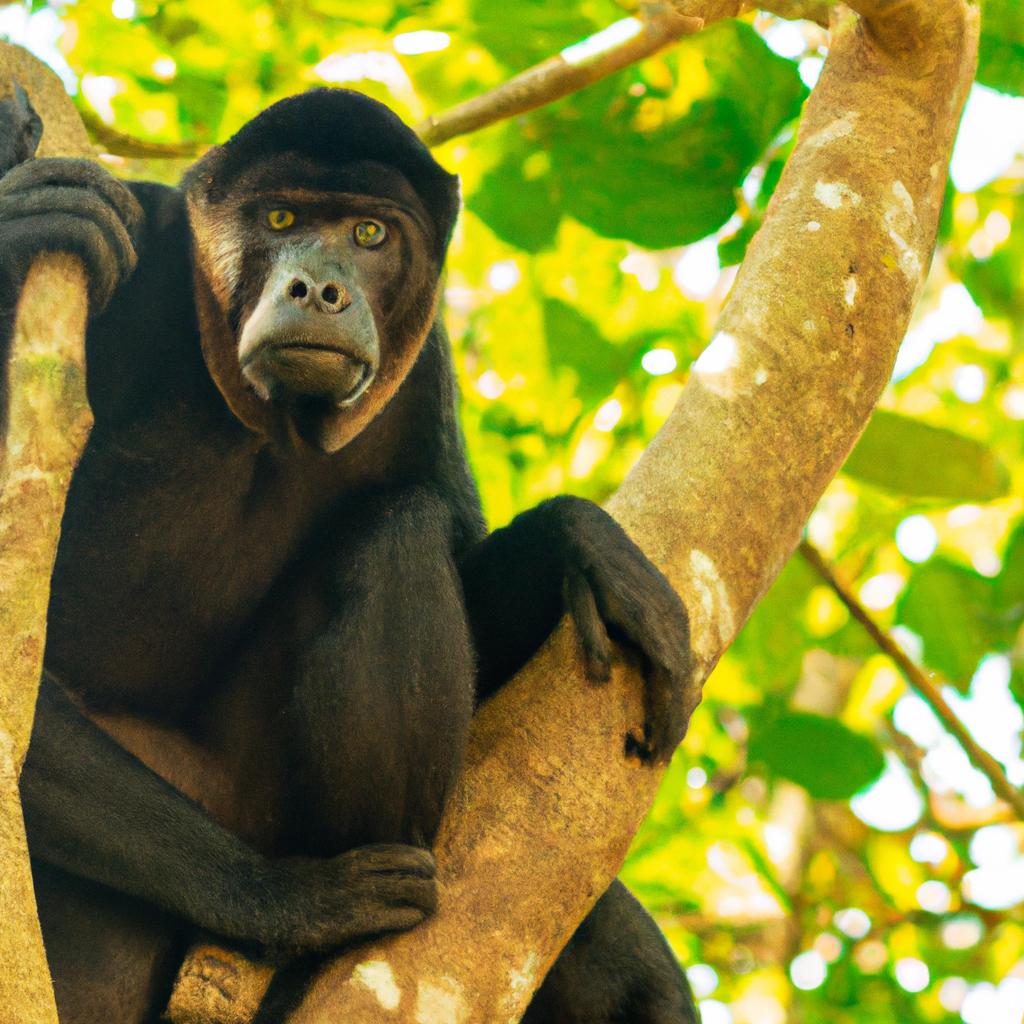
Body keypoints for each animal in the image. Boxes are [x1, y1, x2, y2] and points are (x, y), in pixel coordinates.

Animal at [0, 90, 696, 1024]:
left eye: (370, 234)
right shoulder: (135, 260)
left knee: (400, 527)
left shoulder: (421, 375)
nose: (319, 288)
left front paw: (574, 540)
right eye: (281, 218)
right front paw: (286, 901)